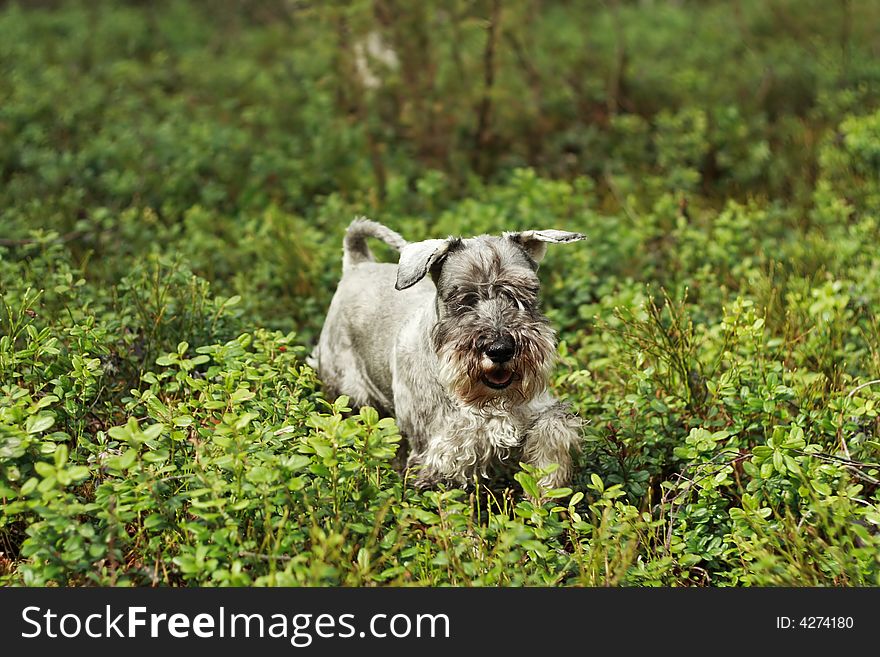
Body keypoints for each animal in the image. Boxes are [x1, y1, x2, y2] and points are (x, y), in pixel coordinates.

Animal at [310, 218, 584, 490]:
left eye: (524, 293)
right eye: (462, 299)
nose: (500, 349)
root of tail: (358, 265)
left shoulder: (535, 410)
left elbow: (552, 427)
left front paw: (548, 481)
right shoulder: (437, 453)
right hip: (351, 397)